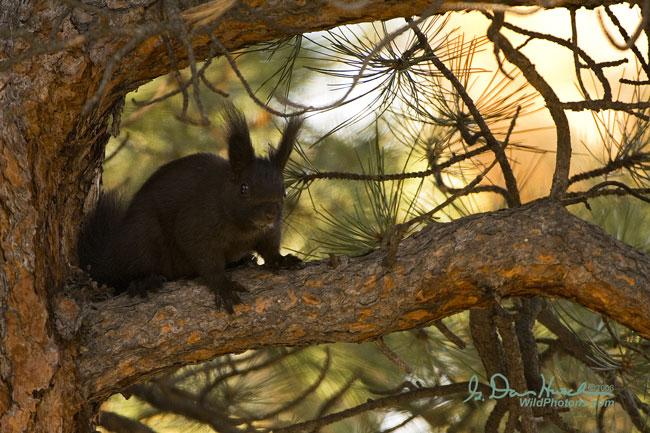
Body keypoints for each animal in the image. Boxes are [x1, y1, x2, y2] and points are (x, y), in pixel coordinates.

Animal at [78, 106, 302, 312]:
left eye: (284, 192)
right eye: (244, 188)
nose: (270, 214)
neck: (243, 229)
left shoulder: (269, 232)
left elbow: (269, 249)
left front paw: (282, 260)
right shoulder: (196, 225)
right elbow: (206, 259)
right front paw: (223, 285)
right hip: (142, 236)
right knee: (131, 270)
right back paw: (143, 281)